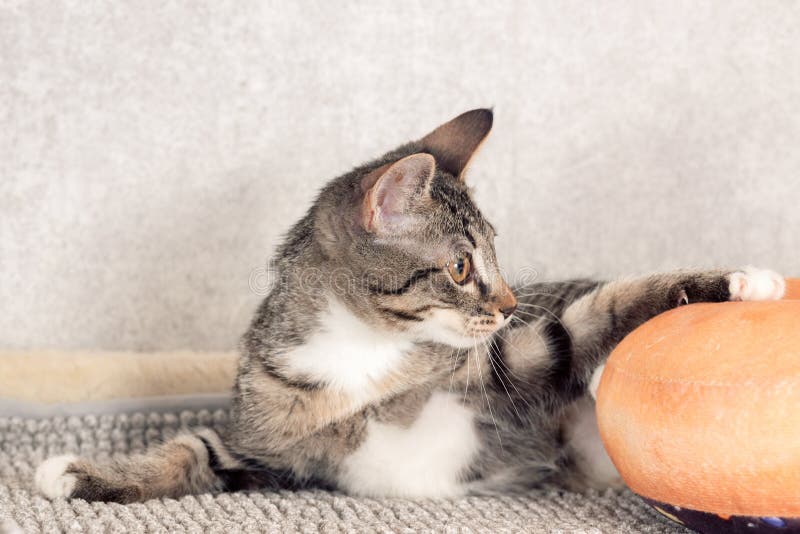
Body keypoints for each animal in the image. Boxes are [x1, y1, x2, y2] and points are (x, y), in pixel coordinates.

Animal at [34, 108, 784, 502]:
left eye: (496, 253)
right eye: (460, 266)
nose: (509, 301)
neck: (360, 357)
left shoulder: (510, 359)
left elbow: (594, 314)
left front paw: (746, 282)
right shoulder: (266, 446)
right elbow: (190, 451)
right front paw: (79, 473)